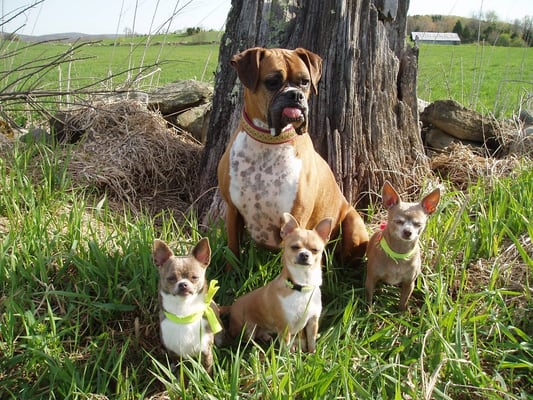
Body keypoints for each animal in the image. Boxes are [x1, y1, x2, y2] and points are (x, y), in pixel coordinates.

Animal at [216, 46, 366, 266]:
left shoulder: (297, 217)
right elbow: (233, 251)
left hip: (354, 225)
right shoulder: (233, 211)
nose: (295, 95)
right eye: (272, 81)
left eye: (305, 82)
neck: (268, 142)